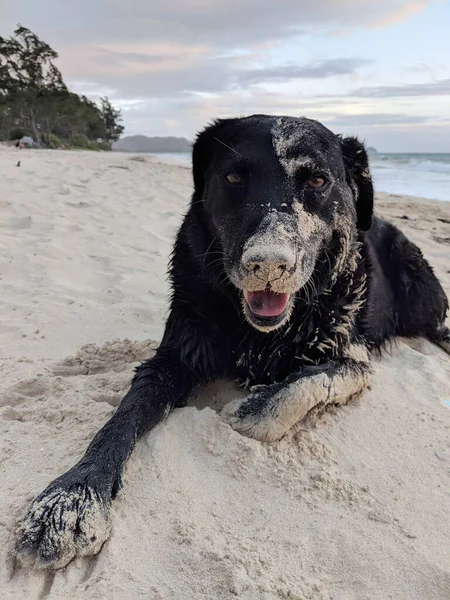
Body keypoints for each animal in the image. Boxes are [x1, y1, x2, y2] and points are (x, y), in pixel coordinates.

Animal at [14, 116, 450, 568]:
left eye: (317, 181)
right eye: (233, 177)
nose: (268, 265)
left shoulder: (352, 354)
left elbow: (312, 380)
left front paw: (253, 408)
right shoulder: (174, 355)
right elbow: (124, 416)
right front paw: (72, 498)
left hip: (421, 291)